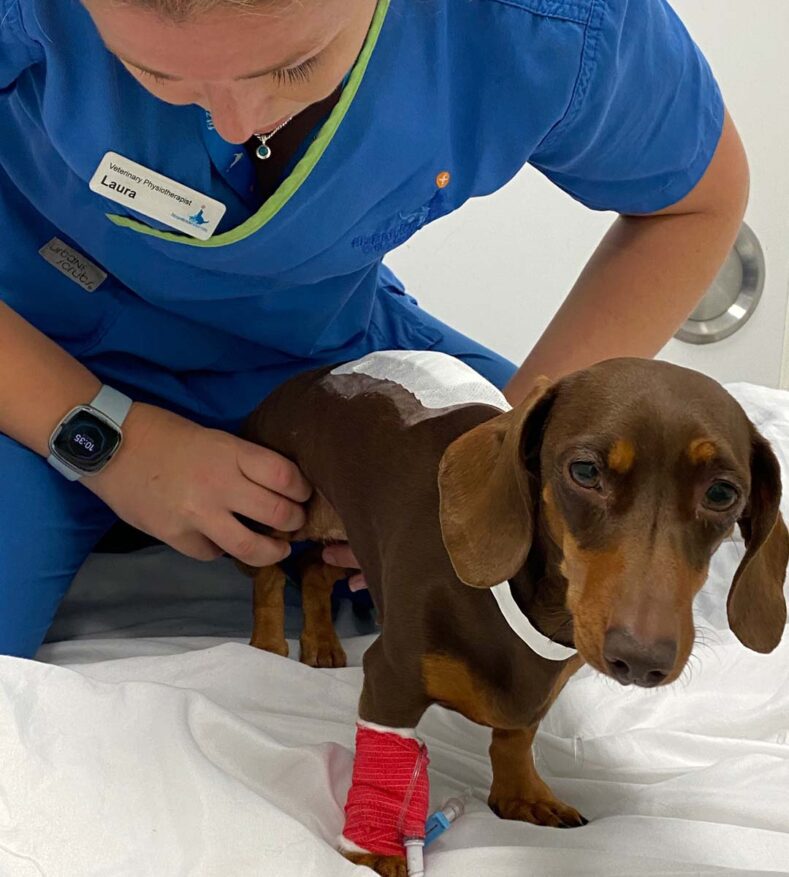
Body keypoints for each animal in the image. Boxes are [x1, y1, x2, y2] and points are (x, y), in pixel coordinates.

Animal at [237, 352, 784, 872]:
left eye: (722, 493)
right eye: (585, 471)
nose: (641, 661)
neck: (529, 613)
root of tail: (313, 375)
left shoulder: (538, 696)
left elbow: (515, 738)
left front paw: (522, 795)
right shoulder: (391, 679)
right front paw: (374, 850)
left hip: (345, 538)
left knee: (314, 571)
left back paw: (321, 643)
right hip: (286, 507)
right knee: (270, 568)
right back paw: (268, 641)